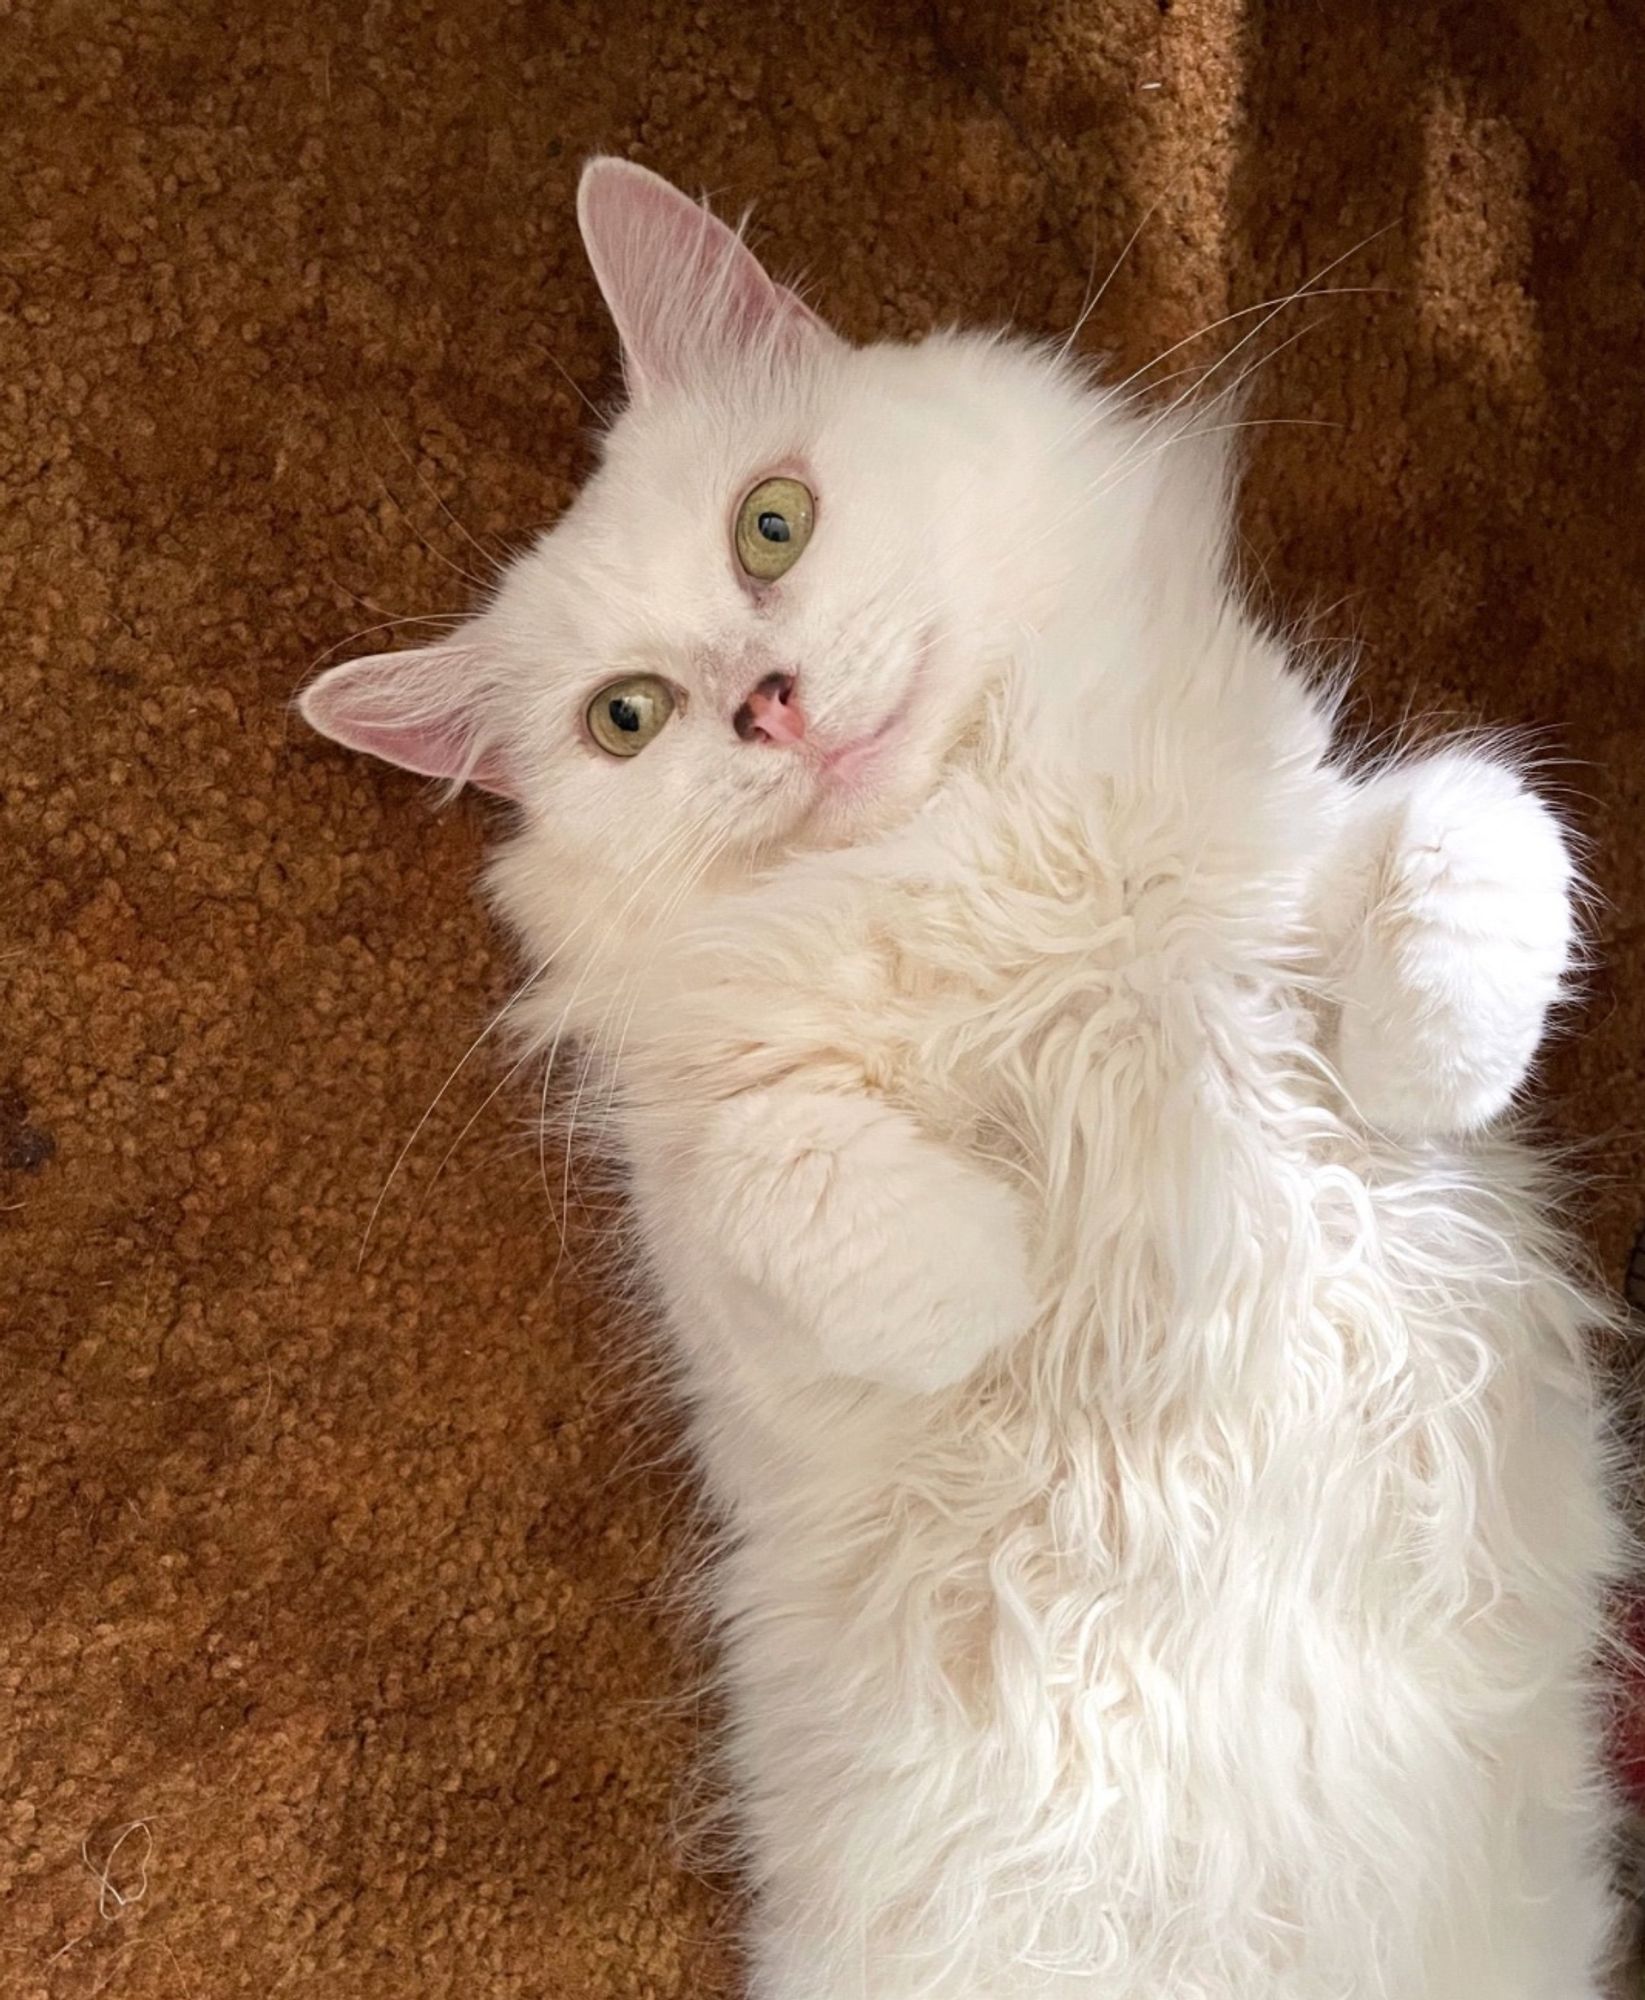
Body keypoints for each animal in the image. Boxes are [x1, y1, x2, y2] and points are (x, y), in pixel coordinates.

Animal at [302, 160, 1632, 2000]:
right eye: (628, 721)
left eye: (772, 527)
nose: (769, 707)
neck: (982, 849)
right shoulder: (735, 1259)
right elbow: (796, 1174)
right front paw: (995, 1273)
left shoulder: (1327, 845)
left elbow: (1478, 831)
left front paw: (1429, 1048)